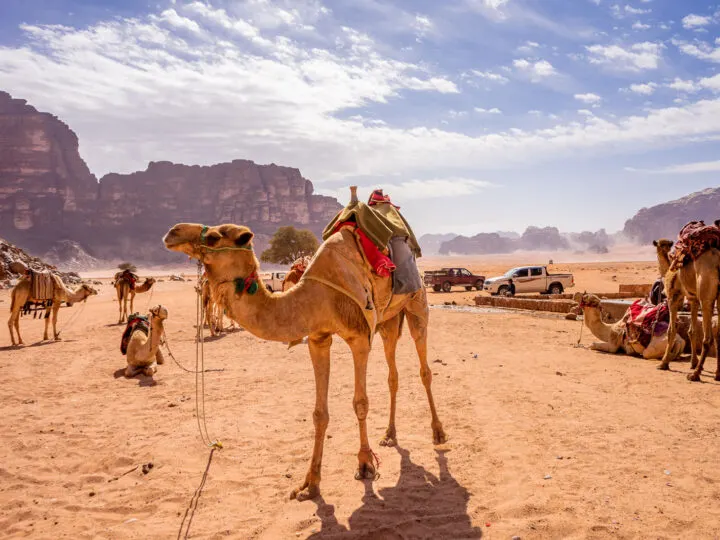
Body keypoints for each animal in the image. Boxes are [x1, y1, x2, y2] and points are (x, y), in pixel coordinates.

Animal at [163, 217, 444, 500]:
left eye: (213, 237)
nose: (172, 232)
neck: (315, 298)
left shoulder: (359, 336)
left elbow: (360, 403)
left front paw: (365, 465)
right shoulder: (318, 339)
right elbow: (319, 413)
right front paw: (310, 483)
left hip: (416, 303)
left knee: (424, 368)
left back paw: (438, 433)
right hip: (388, 321)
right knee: (392, 374)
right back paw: (389, 434)